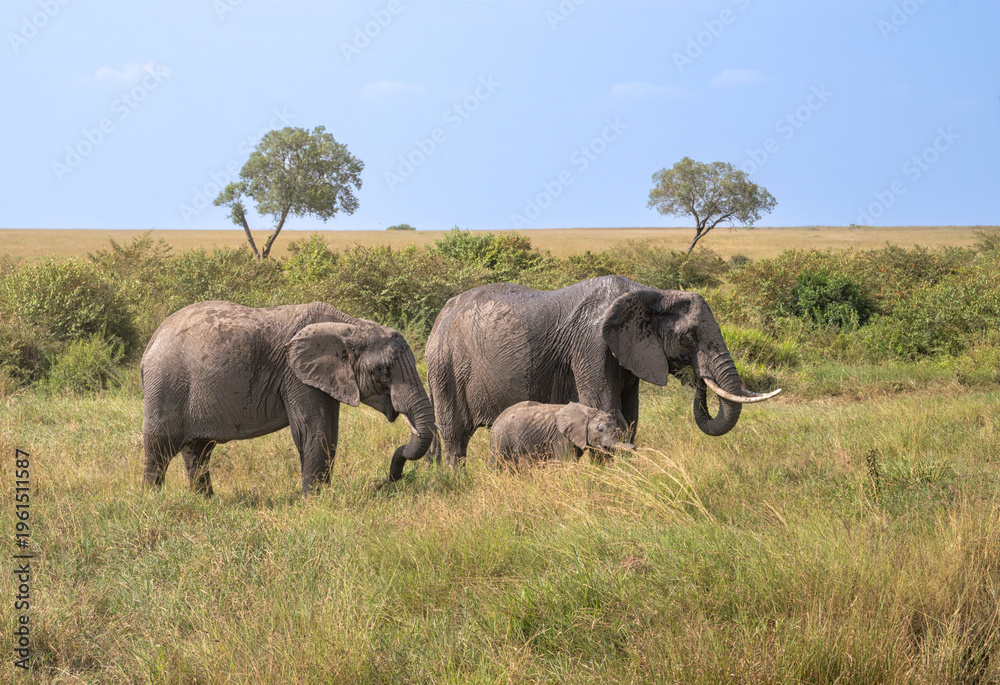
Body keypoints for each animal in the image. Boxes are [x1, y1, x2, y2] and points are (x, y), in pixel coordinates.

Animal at [140, 301, 434, 495]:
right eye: (384, 371)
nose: (384, 481)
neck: (350, 326)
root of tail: (152, 341)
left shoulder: (320, 378)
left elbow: (329, 433)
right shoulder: (296, 375)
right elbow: (314, 430)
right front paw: (314, 502)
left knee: (198, 450)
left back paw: (204, 500)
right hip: (166, 384)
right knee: (160, 447)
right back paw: (153, 501)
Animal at [489, 401, 635, 468]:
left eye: (618, 430)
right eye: (600, 430)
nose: (633, 447)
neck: (588, 412)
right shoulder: (560, 437)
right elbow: (566, 462)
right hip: (501, 438)